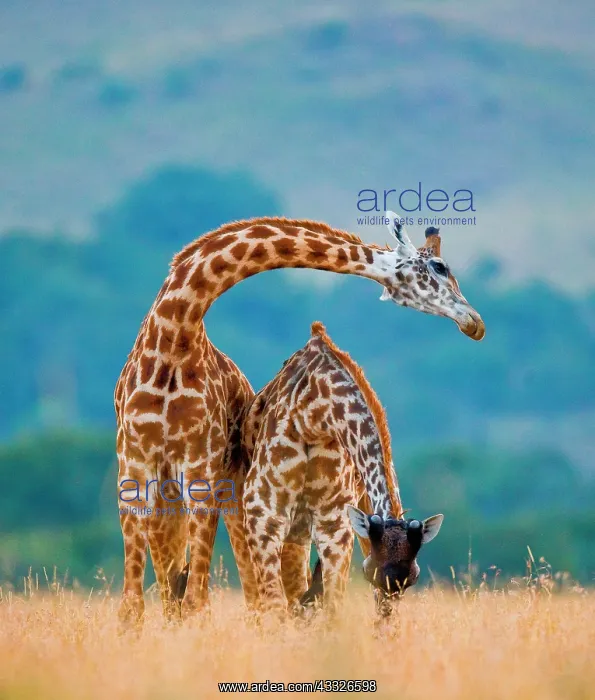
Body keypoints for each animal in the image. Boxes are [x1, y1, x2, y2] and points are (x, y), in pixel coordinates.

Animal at [241, 321, 443, 618]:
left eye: (413, 578)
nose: (386, 618)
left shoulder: (335, 522)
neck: (313, 413)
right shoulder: (263, 512)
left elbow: (330, 606)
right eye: (369, 572)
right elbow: (276, 605)